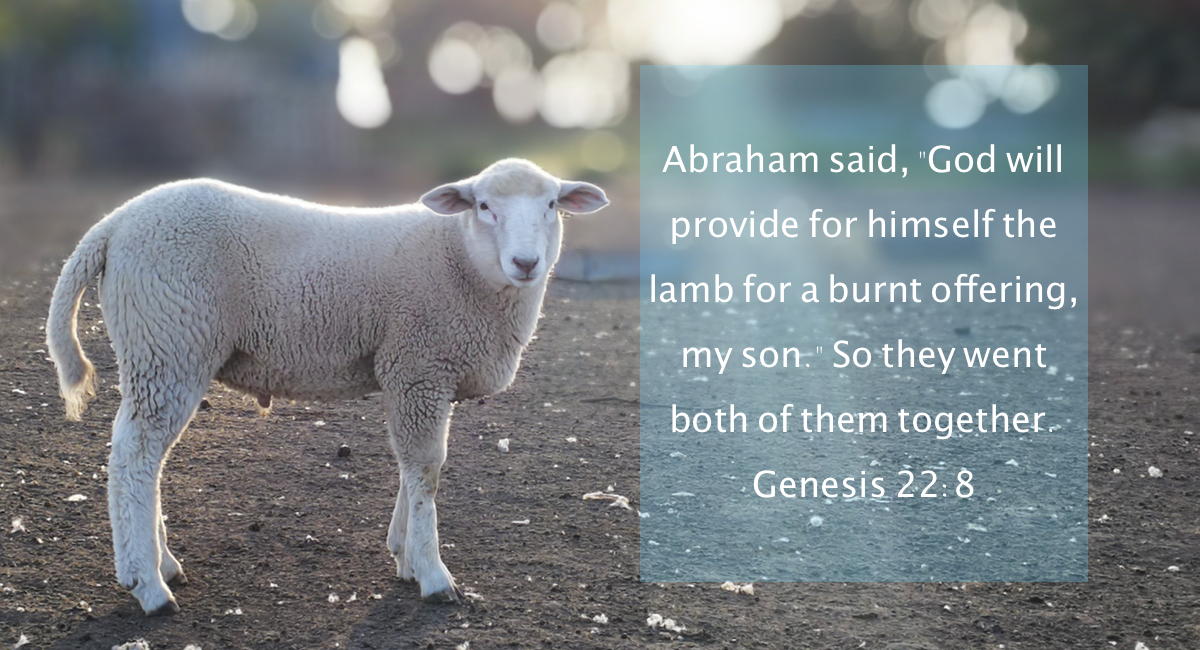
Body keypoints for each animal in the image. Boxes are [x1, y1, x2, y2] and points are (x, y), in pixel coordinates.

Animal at [45, 158, 609, 615]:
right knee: (134, 459)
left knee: (147, 459)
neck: (462, 260)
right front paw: (432, 574)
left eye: (552, 205)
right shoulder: (419, 365)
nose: (526, 263)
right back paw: (147, 586)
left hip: (162, 348)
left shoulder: (411, 374)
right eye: (485, 206)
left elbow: (412, 468)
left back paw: (163, 565)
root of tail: (115, 223)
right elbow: (426, 470)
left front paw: (404, 554)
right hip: (167, 342)